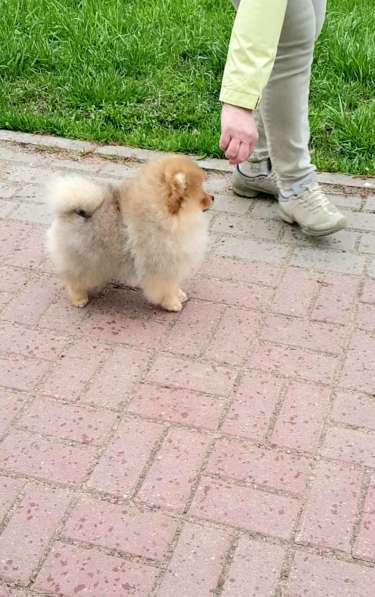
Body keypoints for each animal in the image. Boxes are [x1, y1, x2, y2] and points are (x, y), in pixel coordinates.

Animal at [45, 154, 213, 312]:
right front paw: (172, 303)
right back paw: (79, 299)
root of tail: (71, 210)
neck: (166, 218)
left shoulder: (172, 263)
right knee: (75, 279)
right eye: (200, 192)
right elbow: (165, 287)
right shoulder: (161, 264)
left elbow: (173, 283)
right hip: (84, 258)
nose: (212, 197)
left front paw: (179, 294)